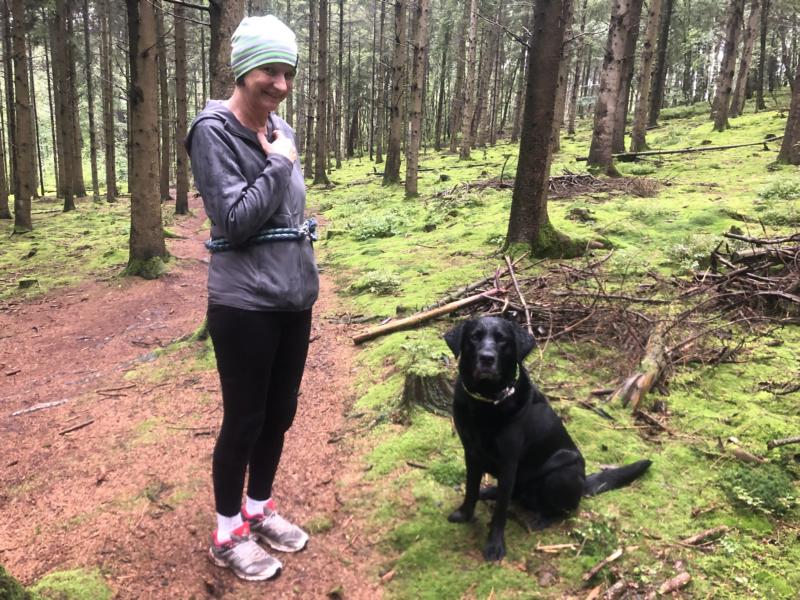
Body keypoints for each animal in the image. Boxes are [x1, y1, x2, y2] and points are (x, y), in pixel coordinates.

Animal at [440, 316, 652, 560]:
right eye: (474, 337)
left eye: (503, 340)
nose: (486, 358)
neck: (486, 401)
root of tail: (583, 482)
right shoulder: (471, 452)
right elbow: (471, 488)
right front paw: (464, 514)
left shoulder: (509, 462)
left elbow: (501, 511)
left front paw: (494, 545)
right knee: (513, 494)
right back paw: (491, 492)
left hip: (562, 471)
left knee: (563, 508)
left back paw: (541, 519)